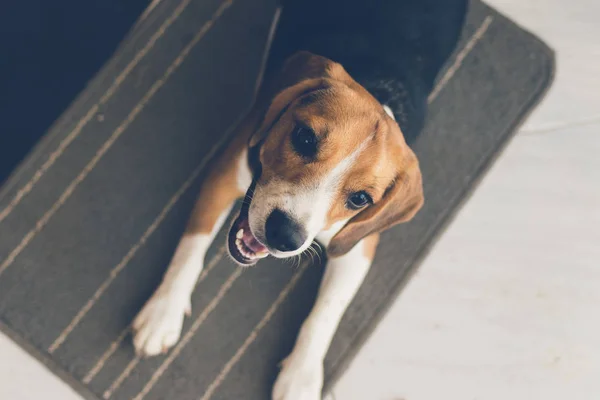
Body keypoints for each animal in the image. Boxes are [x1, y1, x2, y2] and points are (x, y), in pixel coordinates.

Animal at [134, 0, 466, 400]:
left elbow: (326, 312)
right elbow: (191, 247)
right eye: (305, 138)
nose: (284, 235)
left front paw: (302, 376)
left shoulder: (358, 246)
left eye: (360, 198)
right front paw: (163, 310)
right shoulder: (224, 177)